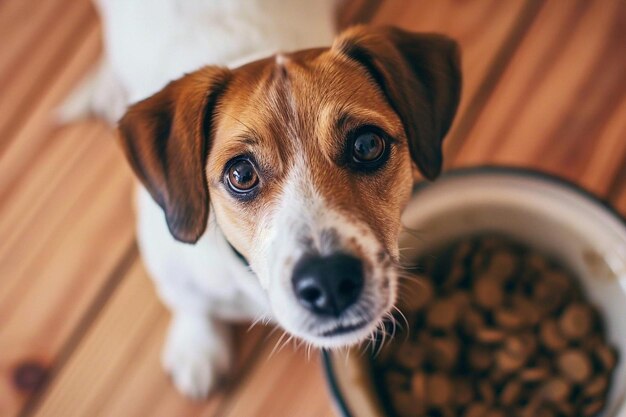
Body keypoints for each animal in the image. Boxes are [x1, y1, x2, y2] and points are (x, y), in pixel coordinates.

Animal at [67, 0, 458, 398]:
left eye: (367, 145)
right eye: (241, 174)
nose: (329, 281)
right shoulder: (168, 261)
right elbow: (191, 302)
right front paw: (198, 347)